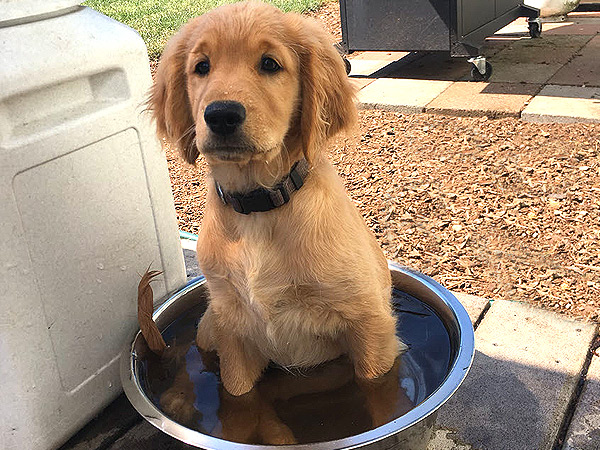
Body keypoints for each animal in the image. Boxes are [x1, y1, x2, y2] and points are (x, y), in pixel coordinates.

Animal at [148, 0, 406, 396]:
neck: (259, 207)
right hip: (207, 327)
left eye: (270, 64)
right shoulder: (231, 329)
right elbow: (238, 394)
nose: (221, 115)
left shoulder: (370, 323)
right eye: (201, 67)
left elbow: (373, 385)